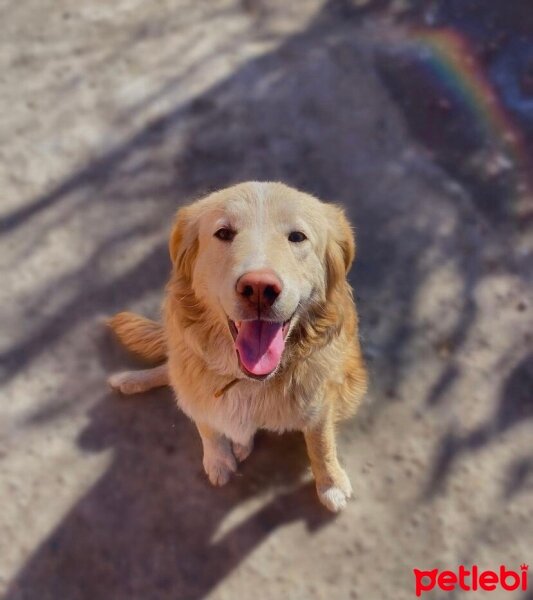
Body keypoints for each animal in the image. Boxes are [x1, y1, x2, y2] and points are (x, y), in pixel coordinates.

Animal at [106, 182, 368, 510]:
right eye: (224, 233)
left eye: (297, 236)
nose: (259, 288)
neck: (248, 379)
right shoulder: (197, 386)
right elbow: (206, 424)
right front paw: (218, 459)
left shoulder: (320, 402)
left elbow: (321, 443)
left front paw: (330, 484)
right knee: (171, 370)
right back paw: (130, 379)